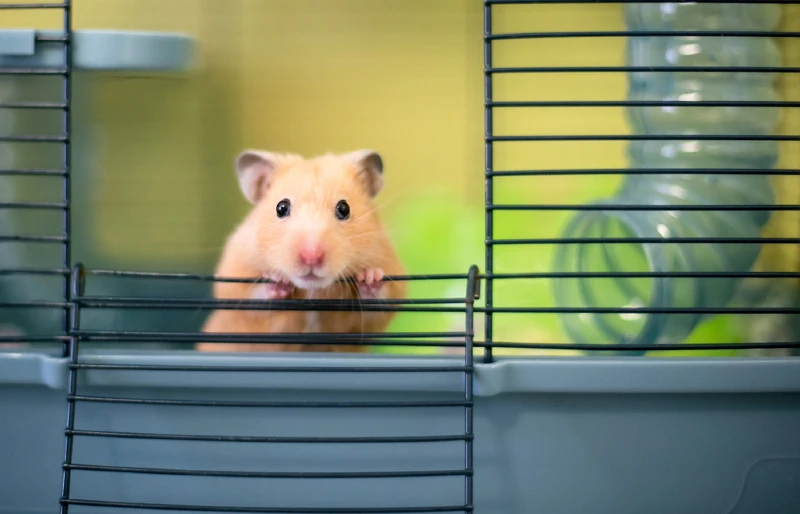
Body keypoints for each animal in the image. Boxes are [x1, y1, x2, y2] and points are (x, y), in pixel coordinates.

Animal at [196, 149, 407, 353]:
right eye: (281, 208)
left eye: (344, 208)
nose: (311, 257)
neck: (311, 289)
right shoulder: (235, 275)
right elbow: (250, 296)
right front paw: (278, 281)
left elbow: (378, 301)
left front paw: (369, 276)